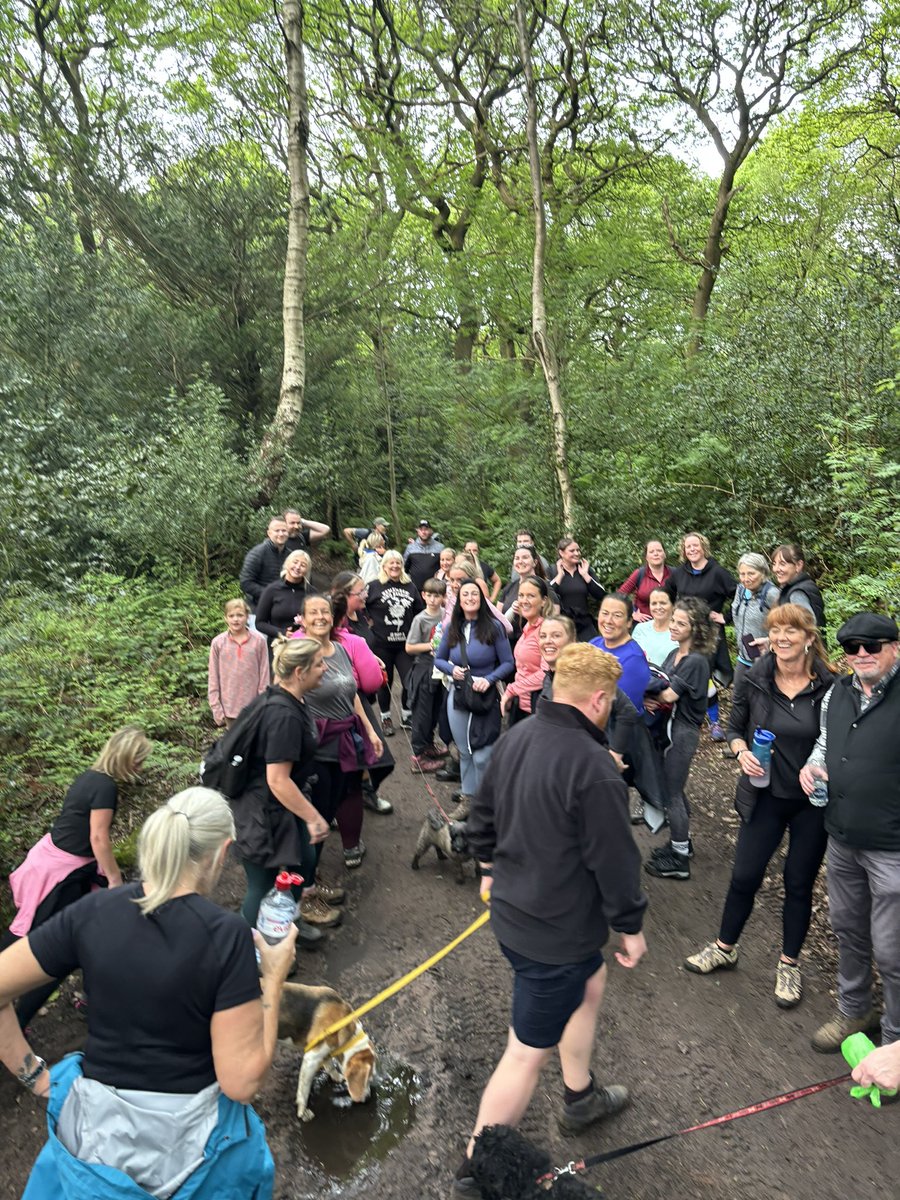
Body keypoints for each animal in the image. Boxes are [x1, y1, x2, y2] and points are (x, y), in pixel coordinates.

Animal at [274, 979, 374, 1118]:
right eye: (368, 1078)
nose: (368, 1097)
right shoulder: (311, 1059)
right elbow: (304, 1090)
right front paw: (303, 1111)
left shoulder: (326, 1051)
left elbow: (330, 1065)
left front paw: (336, 1077)